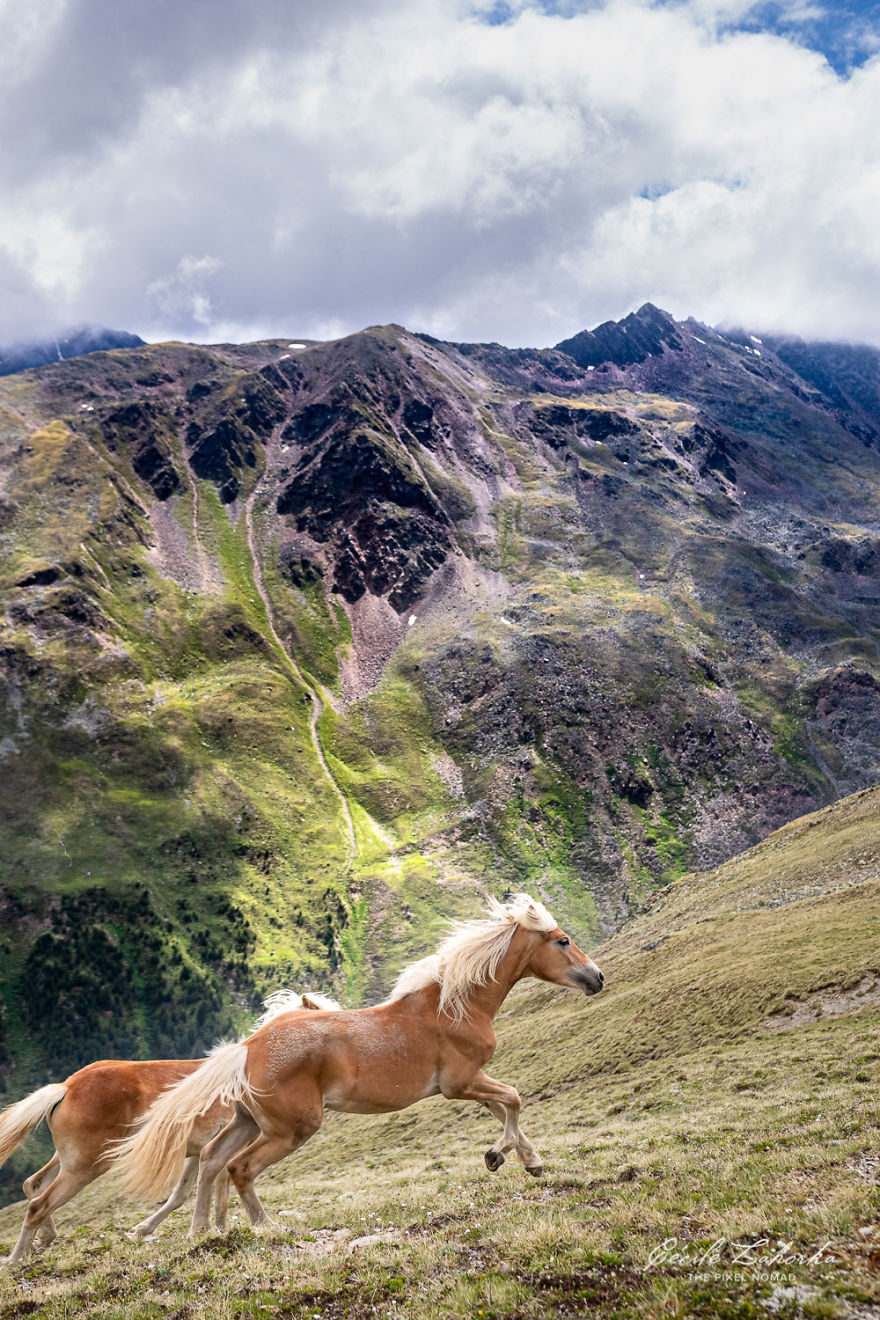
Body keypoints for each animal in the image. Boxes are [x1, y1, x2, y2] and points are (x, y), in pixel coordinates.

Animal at [0, 991, 338, 1264]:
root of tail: (67, 1086)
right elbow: (216, 1186)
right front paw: (215, 1229)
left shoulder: (195, 1152)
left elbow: (184, 1193)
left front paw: (156, 1230)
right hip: (84, 1166)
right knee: (39, 1202)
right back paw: (17, 1258)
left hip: (68, 1159)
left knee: (34, 1185)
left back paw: (43, 1240)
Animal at [116, 894, 604, 1236]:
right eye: (562, 941)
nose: (597, 977)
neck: (455, 1007)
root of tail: (249, 1046)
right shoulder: (461, 1082)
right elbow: (513, 1100)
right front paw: (498, 1156)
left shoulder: (470, 1083)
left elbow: (504, 1108)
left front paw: (528, 1160)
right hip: (291, 1128)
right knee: (239, 1168)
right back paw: (265, 1227)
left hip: (247, 1120)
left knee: (211, 1160)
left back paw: (202, 1232)